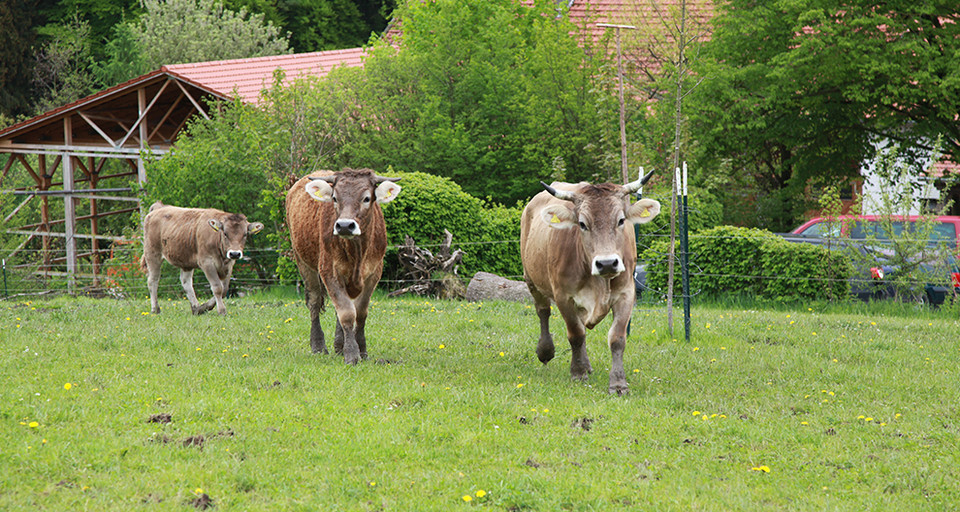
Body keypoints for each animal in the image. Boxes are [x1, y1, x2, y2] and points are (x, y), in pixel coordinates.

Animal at [286, 168, 404, 364]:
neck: (357, 252)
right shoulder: (329, 271)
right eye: (334, 198)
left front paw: (361, 349)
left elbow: (360, 312)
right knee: (314, 302)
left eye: (366, 198)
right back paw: (319, 346)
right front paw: (351, 354)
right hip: (303, 262)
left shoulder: (374, 273)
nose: (344, 226)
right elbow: (347, 313)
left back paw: (338, 346)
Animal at [516, 176, 660, 396]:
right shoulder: (563, 296)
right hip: (531, 279)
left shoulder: (626, 293)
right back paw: (546, 350)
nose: (607, 263)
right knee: (543, 311)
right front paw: (578, 372)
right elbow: (575, 333)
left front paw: (618, 383)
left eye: (621, 220)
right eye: (582, 224)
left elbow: (617, 338)